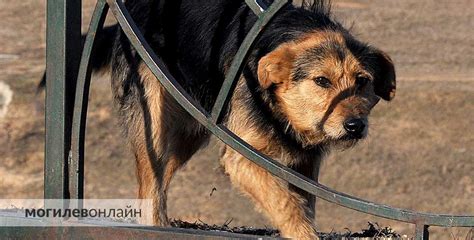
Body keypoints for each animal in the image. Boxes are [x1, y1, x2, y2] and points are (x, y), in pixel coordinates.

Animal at [39, 0, 394, 238]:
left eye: (362, 81)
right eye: (321, 81)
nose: (355, 126)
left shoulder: (305, 164)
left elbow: (301, 202)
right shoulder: (243, 158)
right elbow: (285, 203)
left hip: (189, 131)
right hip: (152, 122)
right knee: (149, 188)